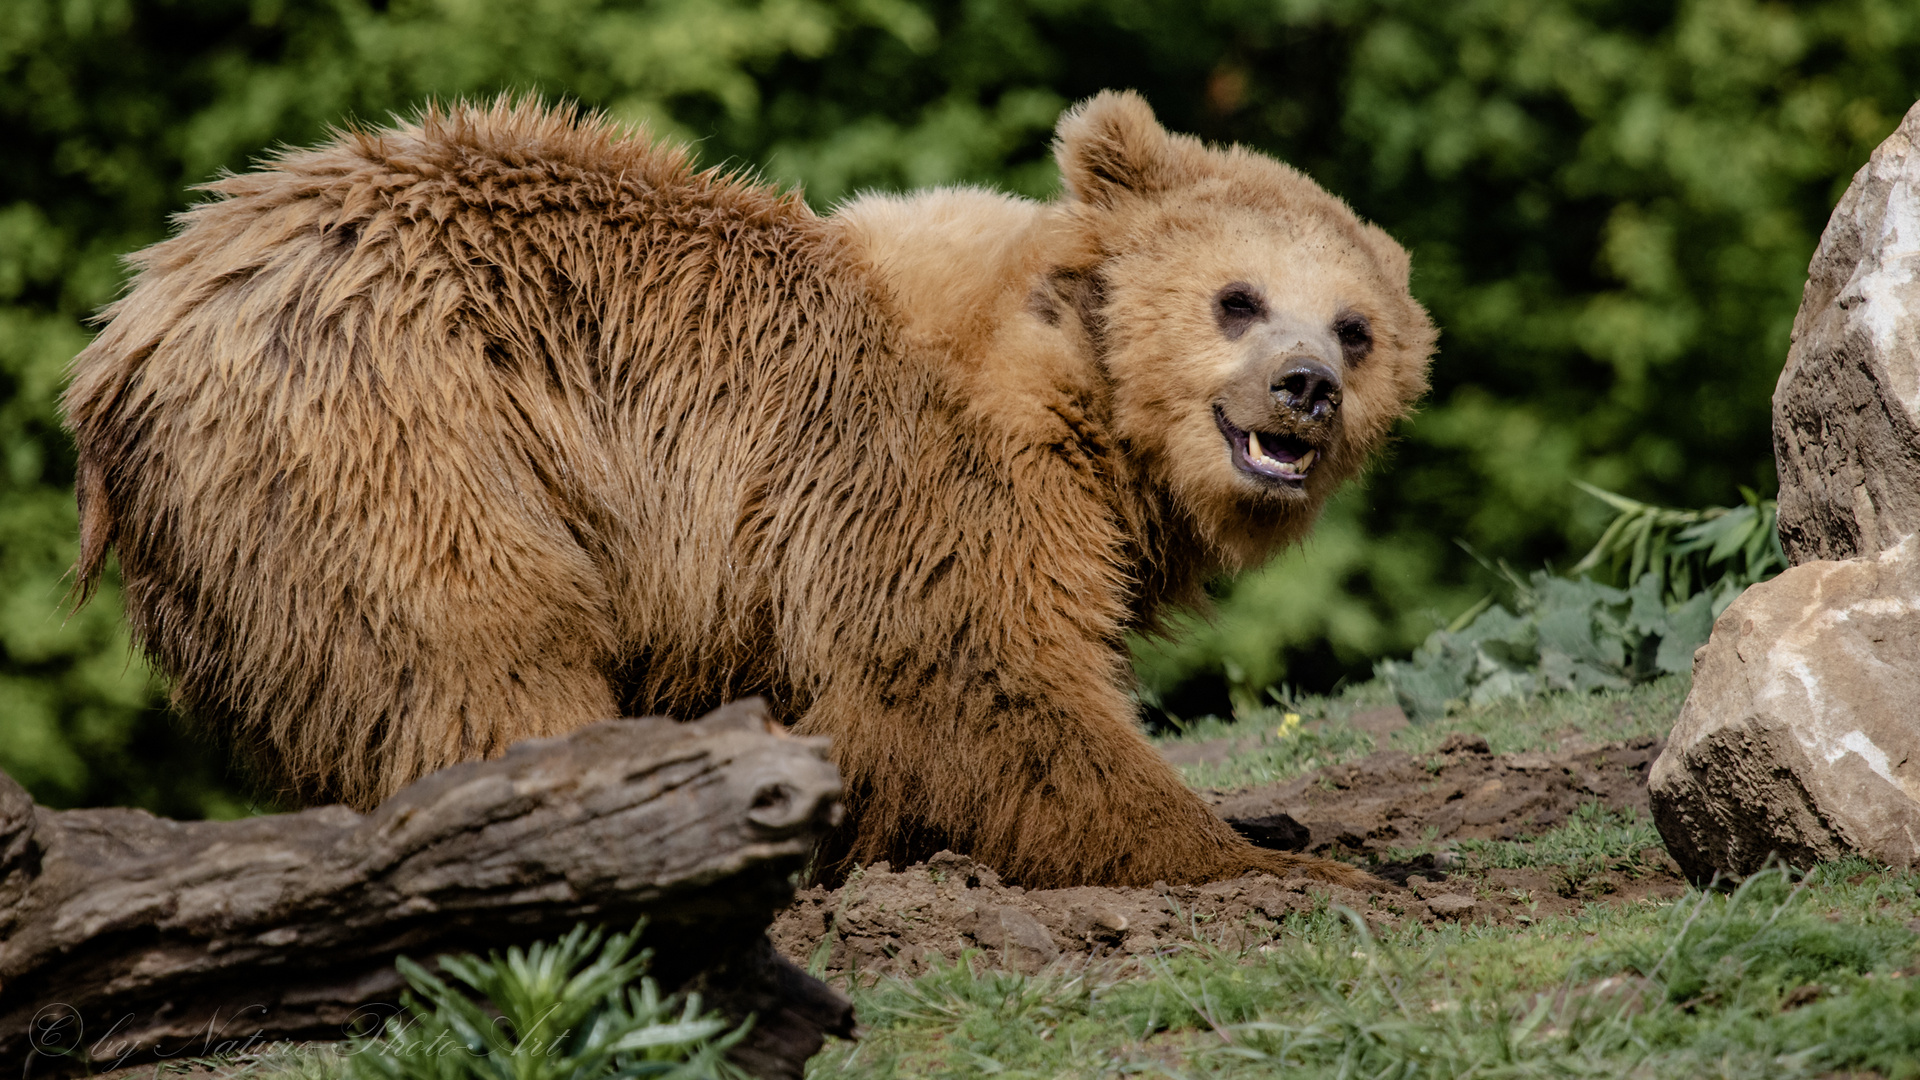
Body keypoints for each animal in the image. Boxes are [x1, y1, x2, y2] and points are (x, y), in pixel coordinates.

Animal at [63, 90, 1428, 883]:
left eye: (1356, 326)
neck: (1086, 412)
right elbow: (982, 679)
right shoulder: (916, 472)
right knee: (479, 655)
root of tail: (131, 333)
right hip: (398, 431)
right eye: (1238, 296)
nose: (1305, 386)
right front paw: (1282, 864)